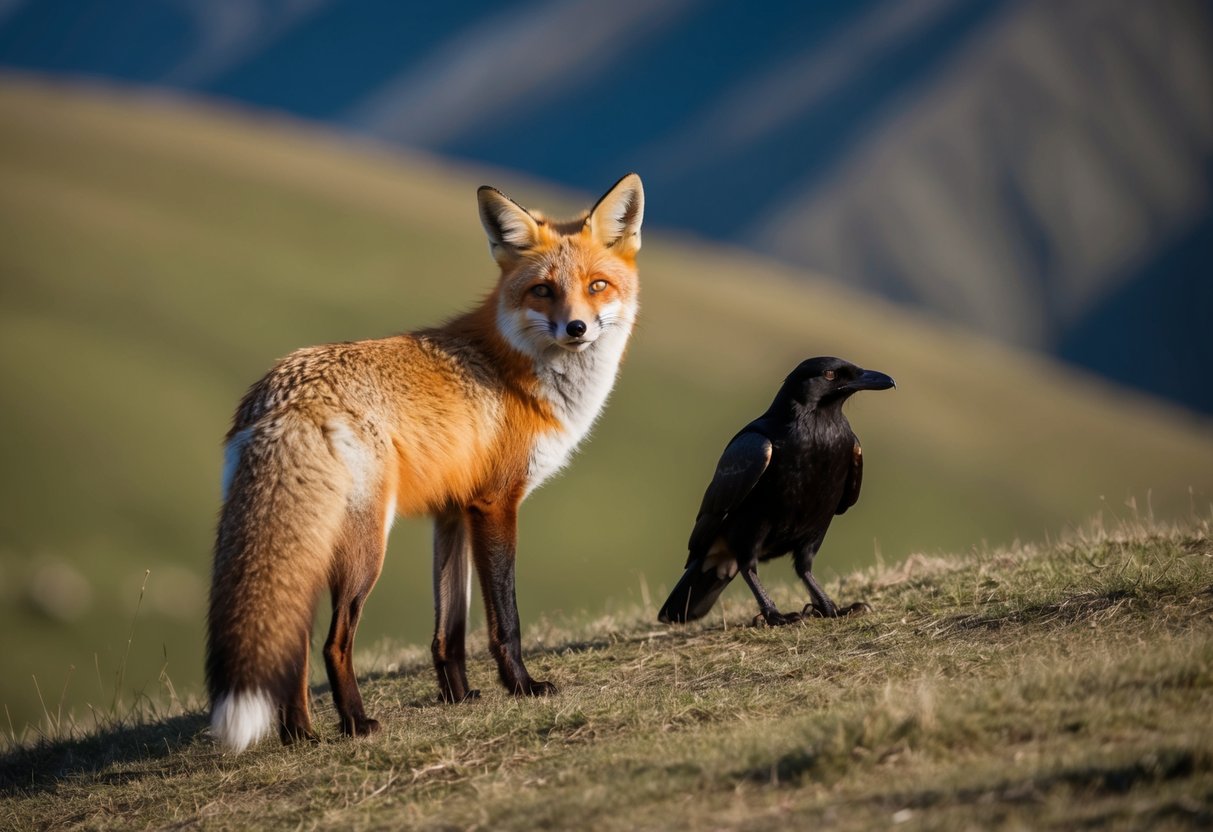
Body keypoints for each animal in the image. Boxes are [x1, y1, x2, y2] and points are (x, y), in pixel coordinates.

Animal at [207, 174, 644, 752]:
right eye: (543, 290)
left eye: (597, 285)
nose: (576, 328)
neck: (519, 368)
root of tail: (283, 395)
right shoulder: (495, 504)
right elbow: (504, 619)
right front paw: (523, 687)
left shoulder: (452, 510)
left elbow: (448, 630)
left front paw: (459, 698)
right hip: (365, 545)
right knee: (332, 644)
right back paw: (355, 723)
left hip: (315, 539)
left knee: (293, 641)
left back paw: (301, 735)